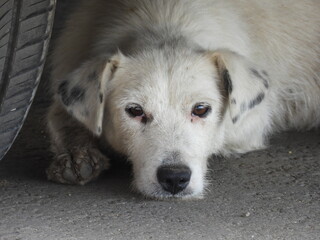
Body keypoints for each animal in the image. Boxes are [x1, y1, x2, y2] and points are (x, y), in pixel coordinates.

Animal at [47, 0, 320, 199]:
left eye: (200, 109)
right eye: (135, 110)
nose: (174, 179)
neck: (165, 22)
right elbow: (63, 118)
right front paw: (76, 153)